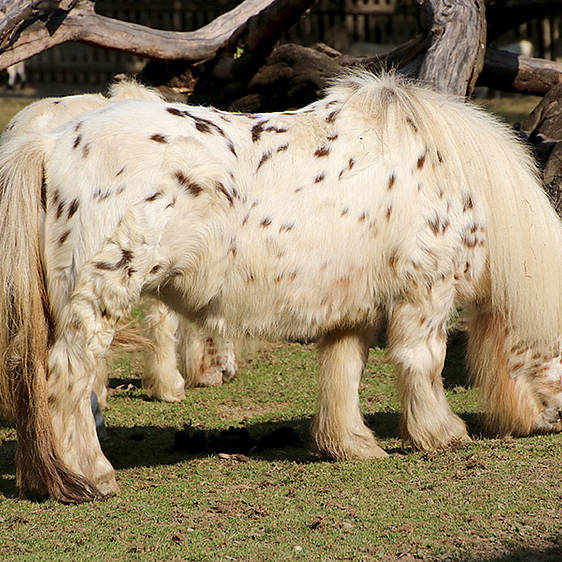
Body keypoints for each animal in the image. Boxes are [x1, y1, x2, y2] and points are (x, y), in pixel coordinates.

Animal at [0, 71, 556, 504]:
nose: (554, 421)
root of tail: (50, 143)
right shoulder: (426, 293)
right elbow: (424, 362)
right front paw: (441, 434)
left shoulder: (352, 308)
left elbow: (344, 370)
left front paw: (351, 444)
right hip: (100, 297)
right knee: (69, 378)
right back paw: (92, 475)